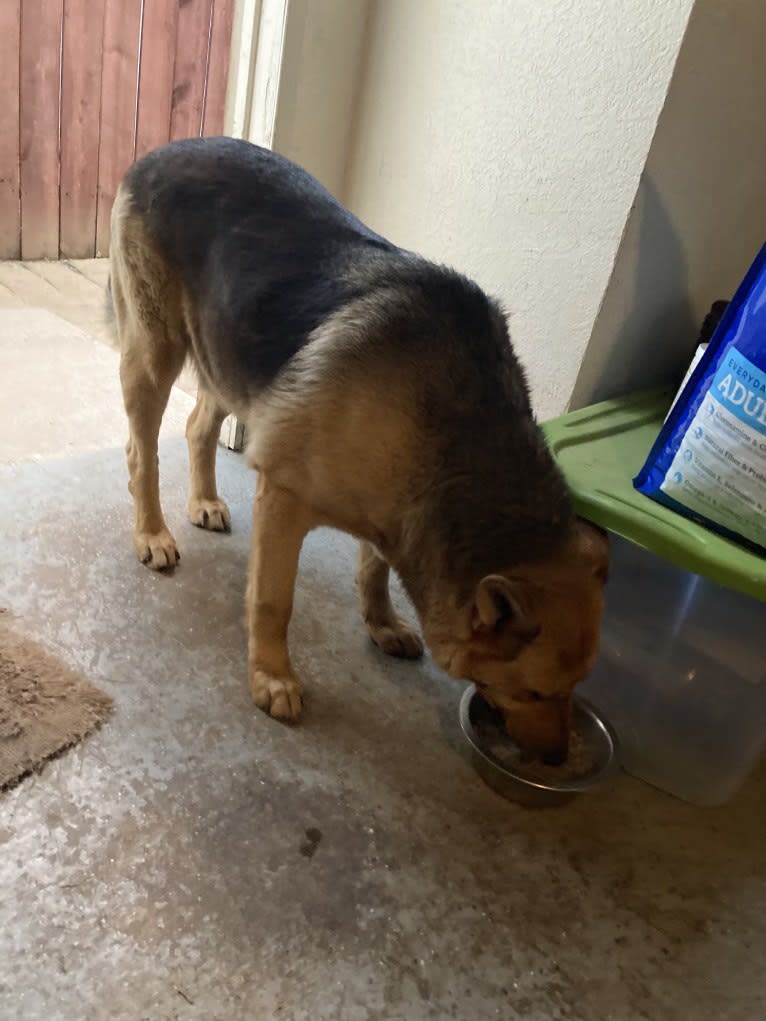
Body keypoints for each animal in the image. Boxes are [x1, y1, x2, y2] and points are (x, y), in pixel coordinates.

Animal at [109, 135, 612, 763]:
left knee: (199, 426)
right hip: (157, 352)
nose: (557, 759)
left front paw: (381, 623)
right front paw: (272, 675)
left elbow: (374, 571)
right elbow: (274, 602)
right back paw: (152, 533)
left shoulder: (392, 511)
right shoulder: (284, 501)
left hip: (233, 353)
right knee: (142, 454)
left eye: (575, 688)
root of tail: (165, 150)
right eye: (536, 692)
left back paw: (203, 501)